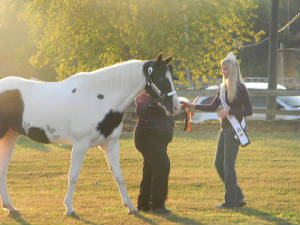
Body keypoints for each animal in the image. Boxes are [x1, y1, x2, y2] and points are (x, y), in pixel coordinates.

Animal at [0, 53, 180, 216]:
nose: (176, 107)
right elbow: (73, 176)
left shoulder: (111, 143)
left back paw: (10, 207)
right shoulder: (81, 144)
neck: (101, 97)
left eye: (171, 78)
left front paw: (130, 207)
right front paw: (69, 208)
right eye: (161, 78)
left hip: (10, 136)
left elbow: (118, 176)